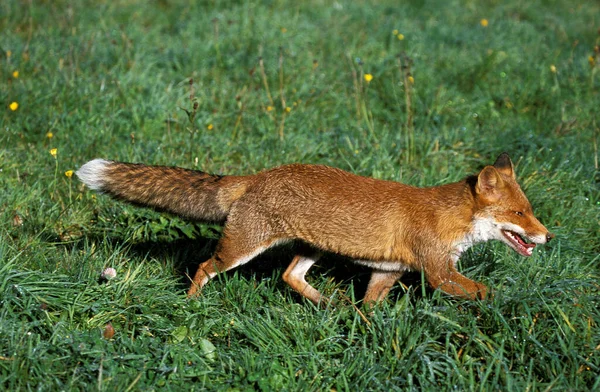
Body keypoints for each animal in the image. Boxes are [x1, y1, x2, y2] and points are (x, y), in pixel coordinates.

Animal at [77, 153, 556, 304]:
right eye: (519, 215)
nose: (549, 236)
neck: (449, 218)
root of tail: (261, 175)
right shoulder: (438, 273)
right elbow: (485, 292)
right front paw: (510, 307)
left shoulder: (387, 271)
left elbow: (369, 308)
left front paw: (364, 330)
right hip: (240, 250)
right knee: (203, 267)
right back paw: (192, 305)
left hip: (314, 249)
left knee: (290, 276)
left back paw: (325, 304)